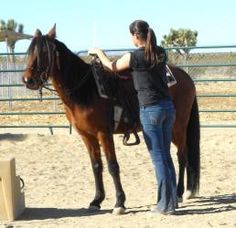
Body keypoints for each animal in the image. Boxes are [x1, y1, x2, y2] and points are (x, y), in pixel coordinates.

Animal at [22, 25, 200, 215]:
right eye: (30, 51)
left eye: (44, 52)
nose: (27, 79)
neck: (86, 90)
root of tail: (185, 77)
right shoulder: (87, 136)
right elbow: (96, 166)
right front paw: (96, 200)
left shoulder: (104, 133)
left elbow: (112, 166)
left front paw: (119, 203)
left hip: (178, 128)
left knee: (182, 156)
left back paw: (180, 193)